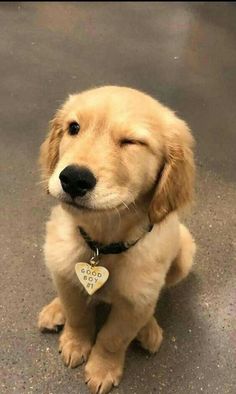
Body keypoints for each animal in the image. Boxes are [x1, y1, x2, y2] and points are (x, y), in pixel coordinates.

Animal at [37, 87, 196, 394]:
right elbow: (77, 314)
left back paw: (149, 329)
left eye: (131, 142)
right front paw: (75, 343)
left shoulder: (134, 305)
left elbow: (113, 338)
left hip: (184, 254)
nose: (73, 179)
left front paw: (102, 369)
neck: (101, 247)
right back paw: (55, 309)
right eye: (74, 128)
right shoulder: (66, 272)